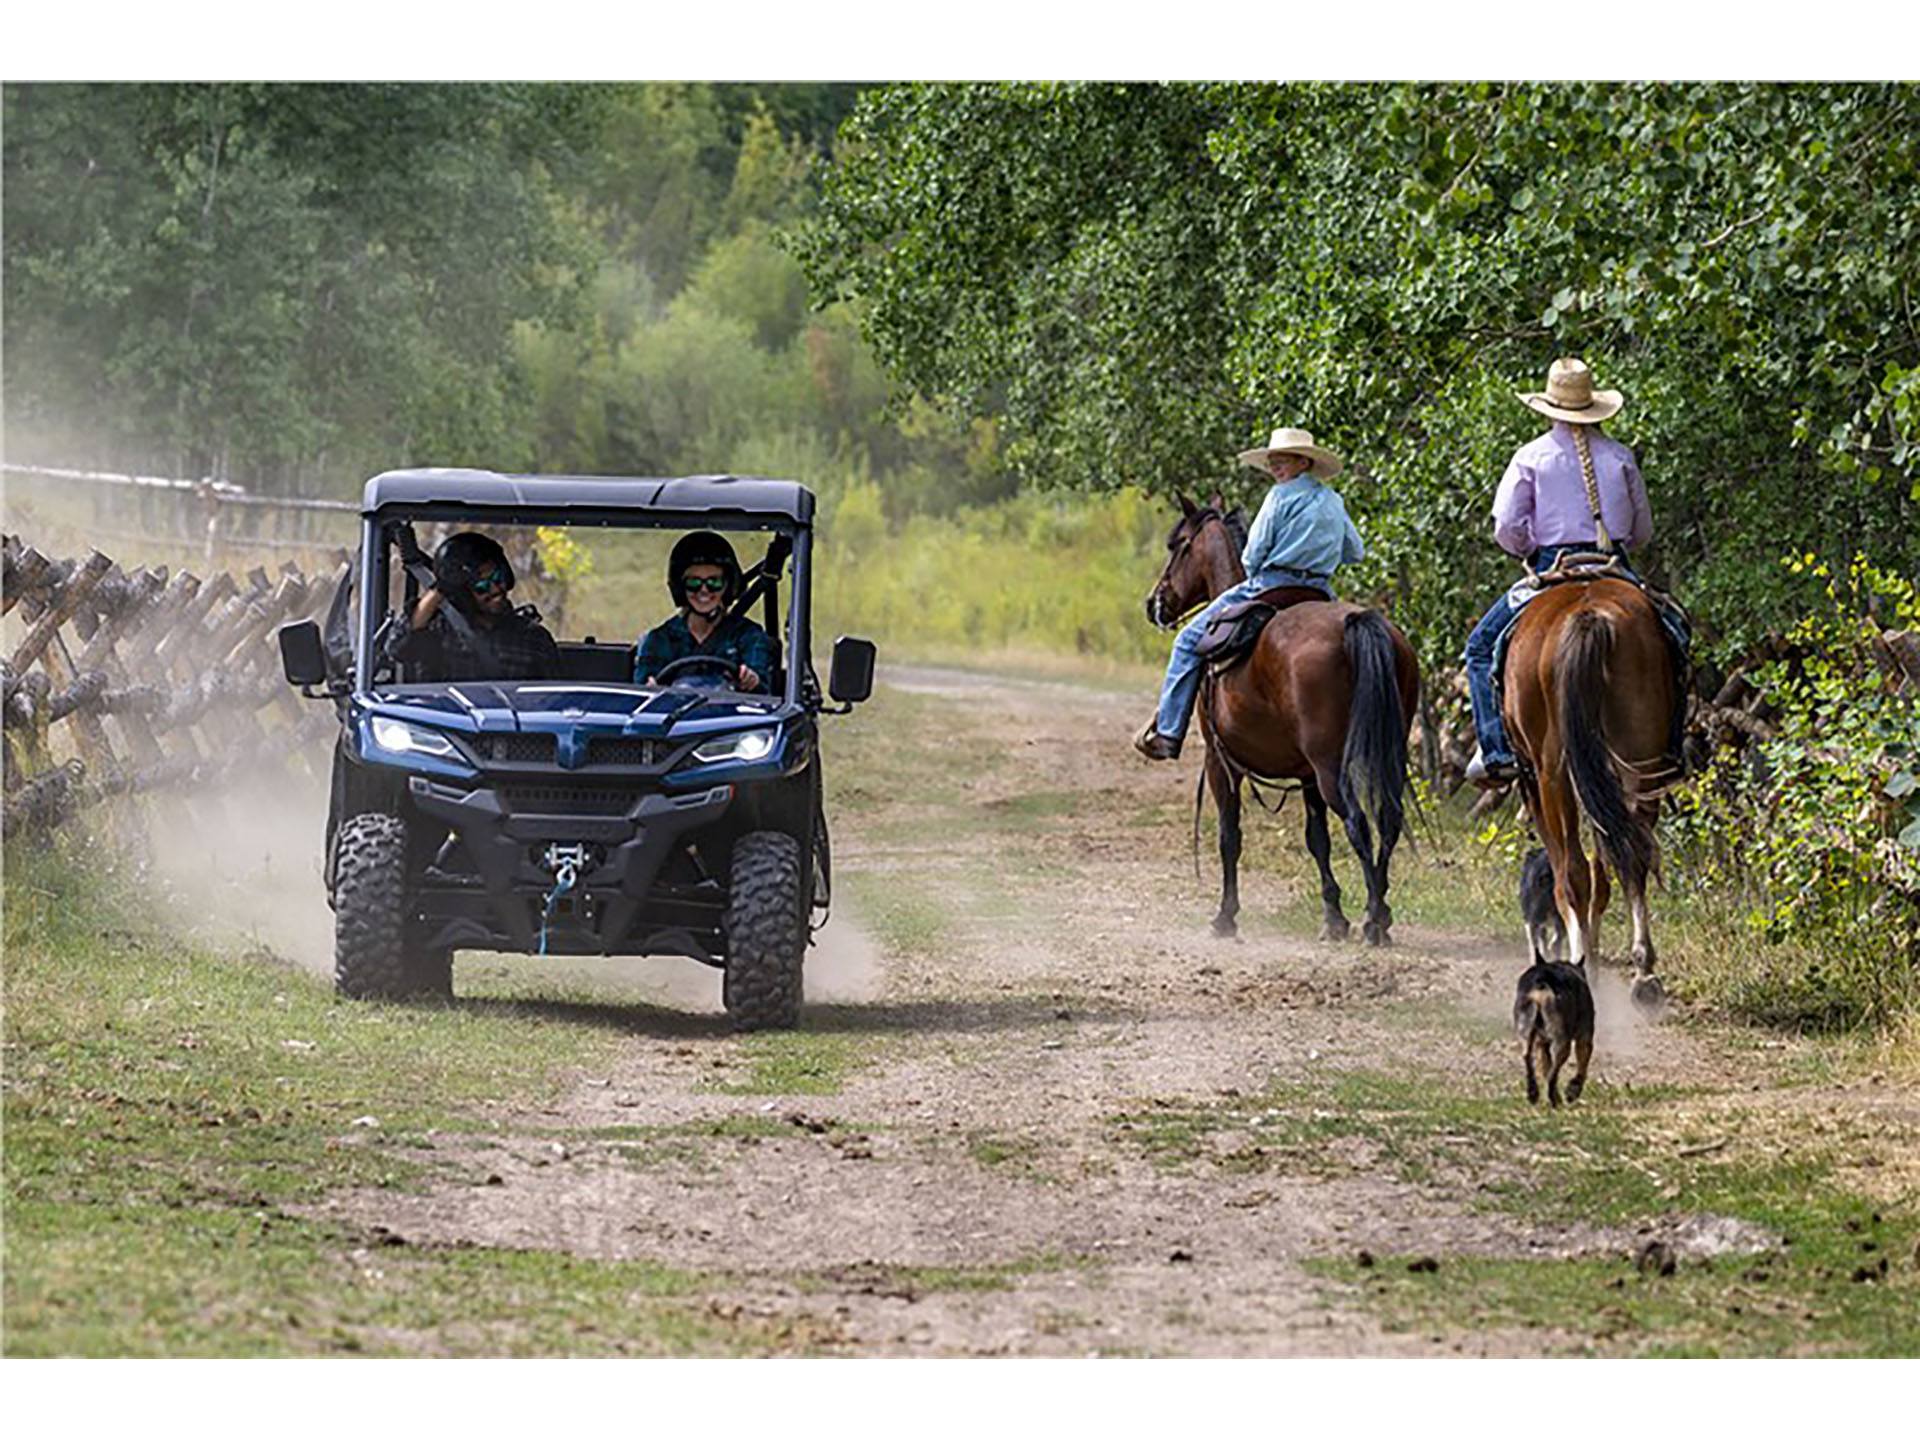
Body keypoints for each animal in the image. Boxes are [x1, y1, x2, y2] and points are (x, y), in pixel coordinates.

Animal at [1144, 495, 1420, 948]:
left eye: (1177, 545)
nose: (1154, 603)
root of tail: (1357, 623)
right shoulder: (1305, 775)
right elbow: (1317, 839)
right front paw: (1333, 917)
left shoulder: (1221, 763)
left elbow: (1230, 837)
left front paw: (1225, 916)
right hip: (1383, 756)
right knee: (1389, 819)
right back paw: (1381, 911)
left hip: (1331, 767)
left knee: (1359, 823)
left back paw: (1374, 920)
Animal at [1497, 579, 1681, 1006]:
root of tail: (1588, 615)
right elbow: (1604, 870)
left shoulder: (1534, 781)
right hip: (1639, 760)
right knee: (1630, 855)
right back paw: (1644, 974)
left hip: (1553, 773)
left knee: (1573, 871)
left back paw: (1581, 965)